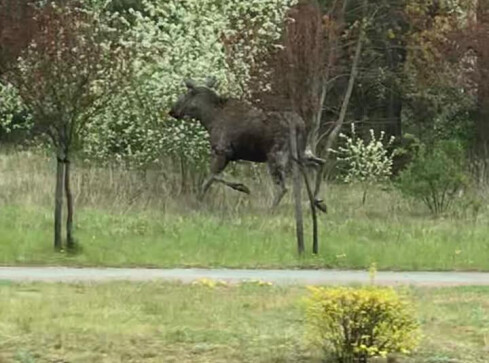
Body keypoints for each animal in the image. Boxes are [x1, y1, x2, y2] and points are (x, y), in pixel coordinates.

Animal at [168, 77, 324, 208]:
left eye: (186, 94)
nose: (172, 110)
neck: (209, 118)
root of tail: (300, 125)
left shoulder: (222, 151)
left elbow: (212, 176)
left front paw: (241, 187)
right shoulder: (226, 155)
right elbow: (211, 178)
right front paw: (199, 199)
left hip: (276, 156)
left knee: (283, 187)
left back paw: (271, 209)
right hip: (299, 153)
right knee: (319, 163)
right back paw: (317, 201)